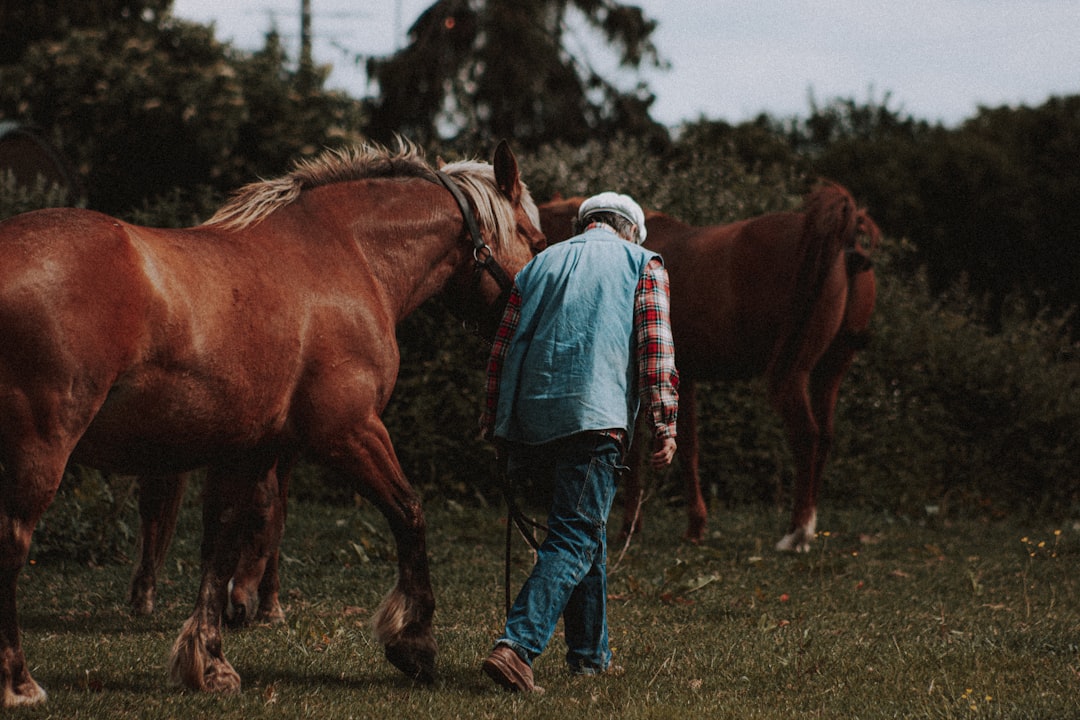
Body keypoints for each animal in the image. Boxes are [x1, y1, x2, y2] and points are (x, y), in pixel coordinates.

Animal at [540, 185, 876, 552]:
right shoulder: (681, 380)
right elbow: (682, 449)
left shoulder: (664, 378)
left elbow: (667, 450)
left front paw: (642, 527)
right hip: (831, 369)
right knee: (826, 437)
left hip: (794, 373)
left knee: (807, 436)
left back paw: (796, 533)